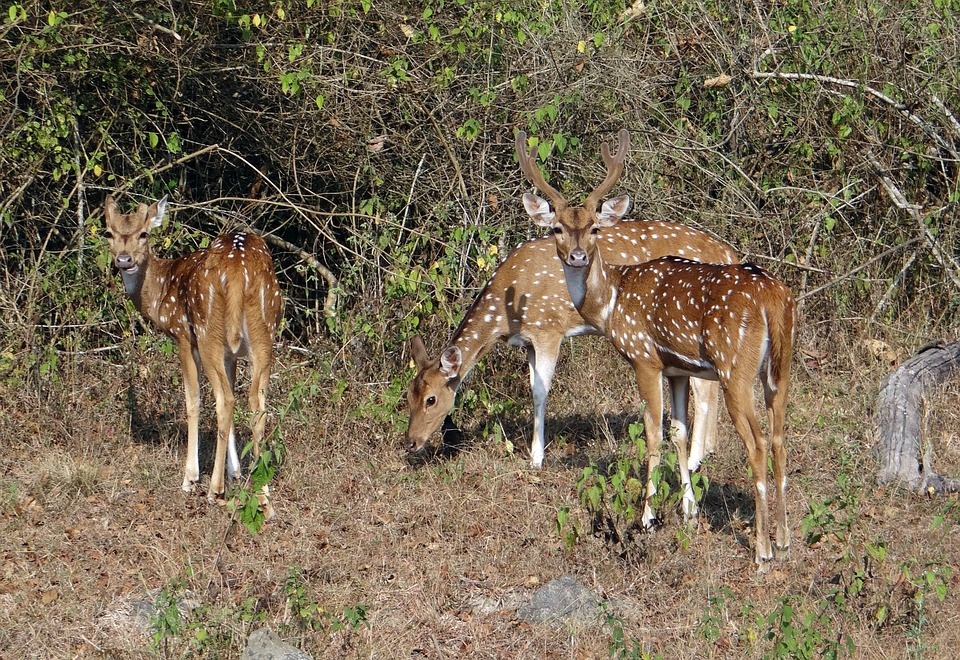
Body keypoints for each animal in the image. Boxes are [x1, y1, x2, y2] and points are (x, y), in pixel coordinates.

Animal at [106, 193, 284, 520]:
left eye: (144, 233)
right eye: (109, 233)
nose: (124, 260)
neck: (158, 296)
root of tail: (238, 271)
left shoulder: (182, 335)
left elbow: (193, 400)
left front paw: (191, 477)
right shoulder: (231, 354)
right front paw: (235, 471)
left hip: (206, 329)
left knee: (224, 399)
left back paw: (214, 490)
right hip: (264, 330)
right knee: (256, 403)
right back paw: (263, 496)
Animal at [404, 186, 736, 470]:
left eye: (431, 398)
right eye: (408, 395)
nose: (410, 443)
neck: (506, 312)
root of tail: (727, 252)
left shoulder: (548, 328)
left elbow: (540, 392)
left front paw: (537, 458)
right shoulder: (528, 342)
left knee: (704, 389)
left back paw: (694, 460)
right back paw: (708, 451)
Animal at [516, 130, 796, 568]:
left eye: (594, 228)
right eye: (558, 228)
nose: (577, 256)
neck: (611, 302)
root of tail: (772, 297)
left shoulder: (644, 358)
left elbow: (653, 433)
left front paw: (647, 516)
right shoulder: (677, 368)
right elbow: (679, 431)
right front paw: (689, 510)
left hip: (735, 367)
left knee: (758, 442)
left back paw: (762, 550)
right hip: (780, 367)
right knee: (781, 436)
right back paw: (783, 539)